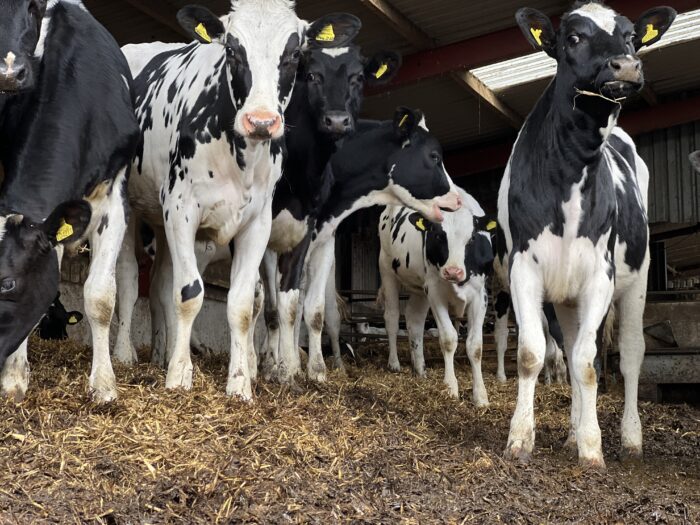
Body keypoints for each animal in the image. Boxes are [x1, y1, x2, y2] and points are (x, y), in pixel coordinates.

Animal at [113, 1, 360, 400]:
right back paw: (125, 353)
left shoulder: (258, 223)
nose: (261, 121)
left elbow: (243, 304)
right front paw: (179, 376)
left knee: (161, 284)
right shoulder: (182, 210)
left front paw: (241, 382)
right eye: (231, 49)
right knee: (129, 277)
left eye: (294, 55)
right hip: (130, 205)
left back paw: (161, 353)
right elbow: (190, 293)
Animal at [377, 187, 493, 405]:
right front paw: (450, 387)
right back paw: (394, 363)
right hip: (387, 269)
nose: (453, 271)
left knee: (414, 320)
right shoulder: (435, 292)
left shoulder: (479, 295)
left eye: (472, 238)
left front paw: (481, 396)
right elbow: (448, 339)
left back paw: (420, 369)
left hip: (420, 288)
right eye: (439, 236)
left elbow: (475, 346)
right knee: (392, 318)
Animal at [498, 2, 676, 467]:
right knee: (575, 341)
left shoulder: (601, 275)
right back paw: (572, 432)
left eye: (631, 37)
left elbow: (588, 363)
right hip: (565, 296)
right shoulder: (524, 268)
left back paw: (630, 438)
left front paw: (593, 447)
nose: (626, 65)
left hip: (638, 280)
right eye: (573, 37)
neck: (571, 166)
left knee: (629, 354)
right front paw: (521, 439)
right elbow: (533, 353)